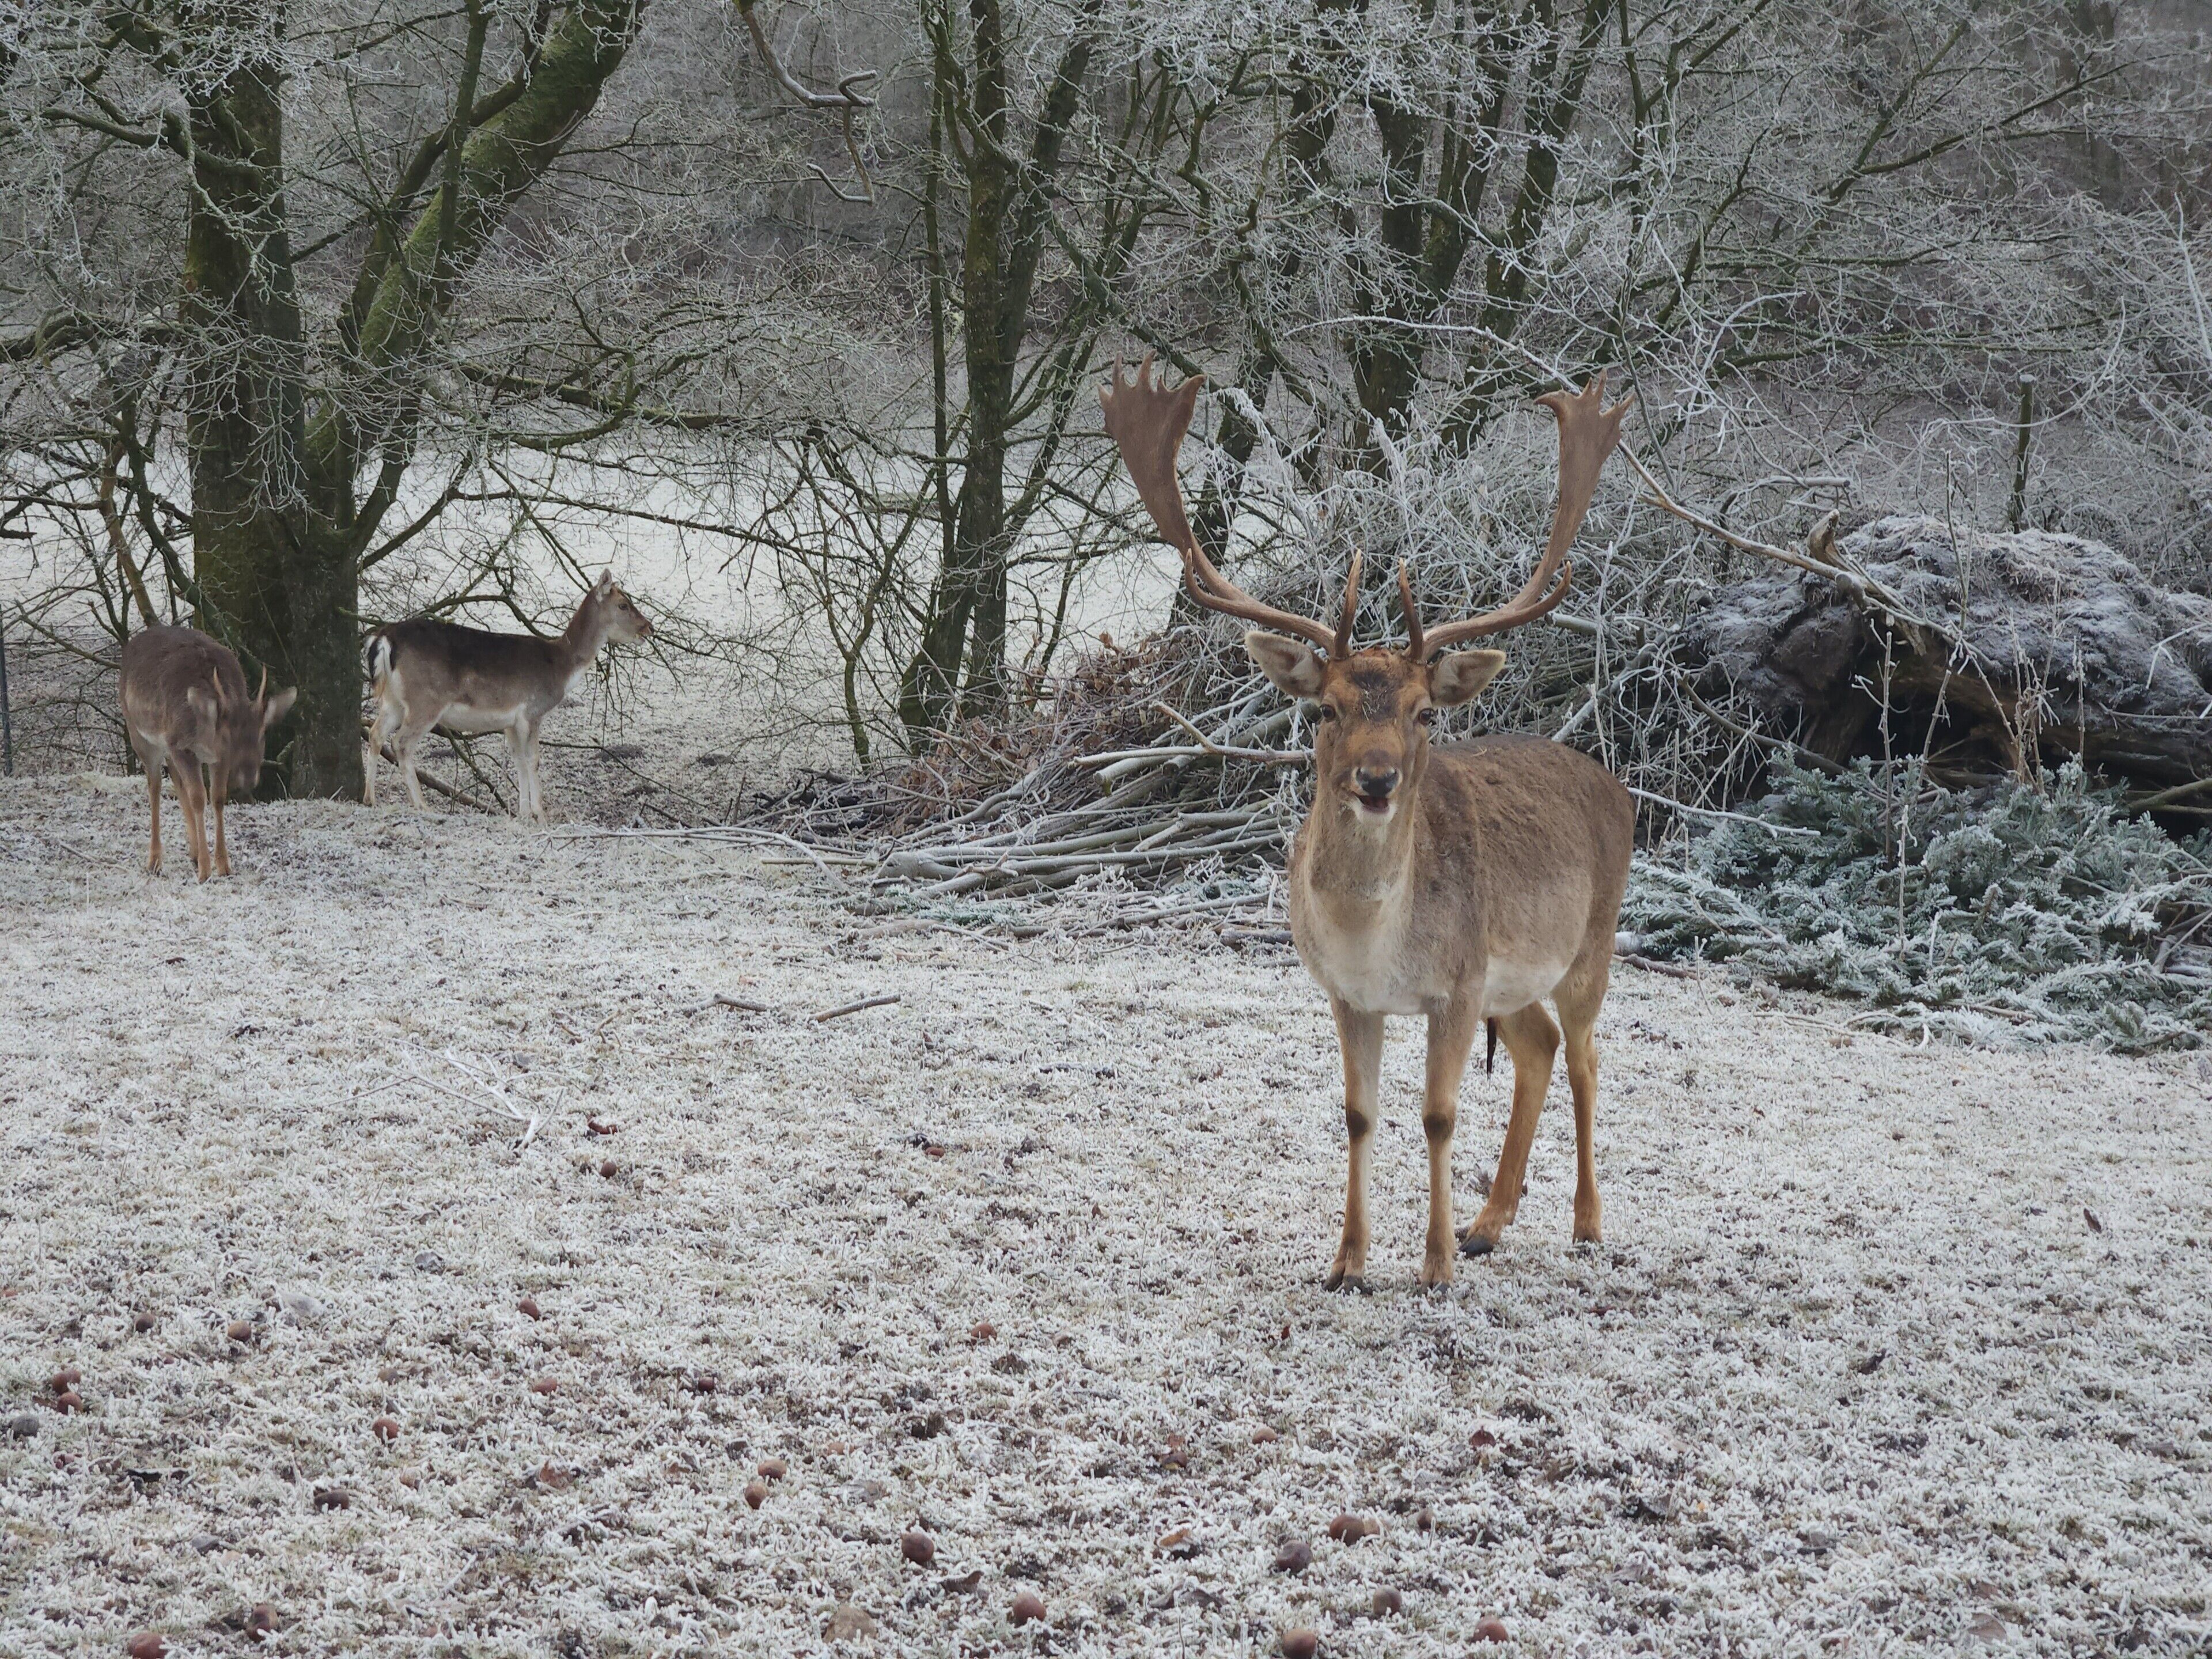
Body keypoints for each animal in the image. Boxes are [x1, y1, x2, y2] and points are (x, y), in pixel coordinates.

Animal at [118, 626, 297, 882]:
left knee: (176, 781)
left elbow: (218, 798)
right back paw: (155, 862)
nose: (248, 778)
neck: (204, 737)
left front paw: (223, 865)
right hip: (139, 732)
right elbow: (198, 798)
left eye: (263, 735)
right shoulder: (180, 744)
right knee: (155, 785)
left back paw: (191, 853)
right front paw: (205, 870)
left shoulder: (217, 758)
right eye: (228, 737)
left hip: (167, 748)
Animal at [363, 572, 653, 821]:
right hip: (425, 701)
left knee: (376, 733)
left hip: (393, 701)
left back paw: (370, 799)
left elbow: (519, 761)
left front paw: (523, 813)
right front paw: (540, 815)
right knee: (401, 742)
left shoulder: (510, 722)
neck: (561, 668)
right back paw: (421, 805)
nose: (648, 627)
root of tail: (384, 637)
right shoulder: (533, 710)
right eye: (624, 605)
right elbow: (533, 760)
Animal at [1101, 357, 1635, 1290]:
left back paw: (1586, 1224)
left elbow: (1438, 1115)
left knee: (1587, 1057)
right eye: (1325, 708)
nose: (1378, 779)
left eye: (1424, 712)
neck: (1372, 940)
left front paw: (1433, 1267)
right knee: (1537, 1046)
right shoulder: (1349, 995)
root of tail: (1620, 791)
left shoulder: (1456, 984)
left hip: (1591, 945)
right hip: (1514, 978)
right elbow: (1357, 1114)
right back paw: (1490, 1225)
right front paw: (1350, 1261)